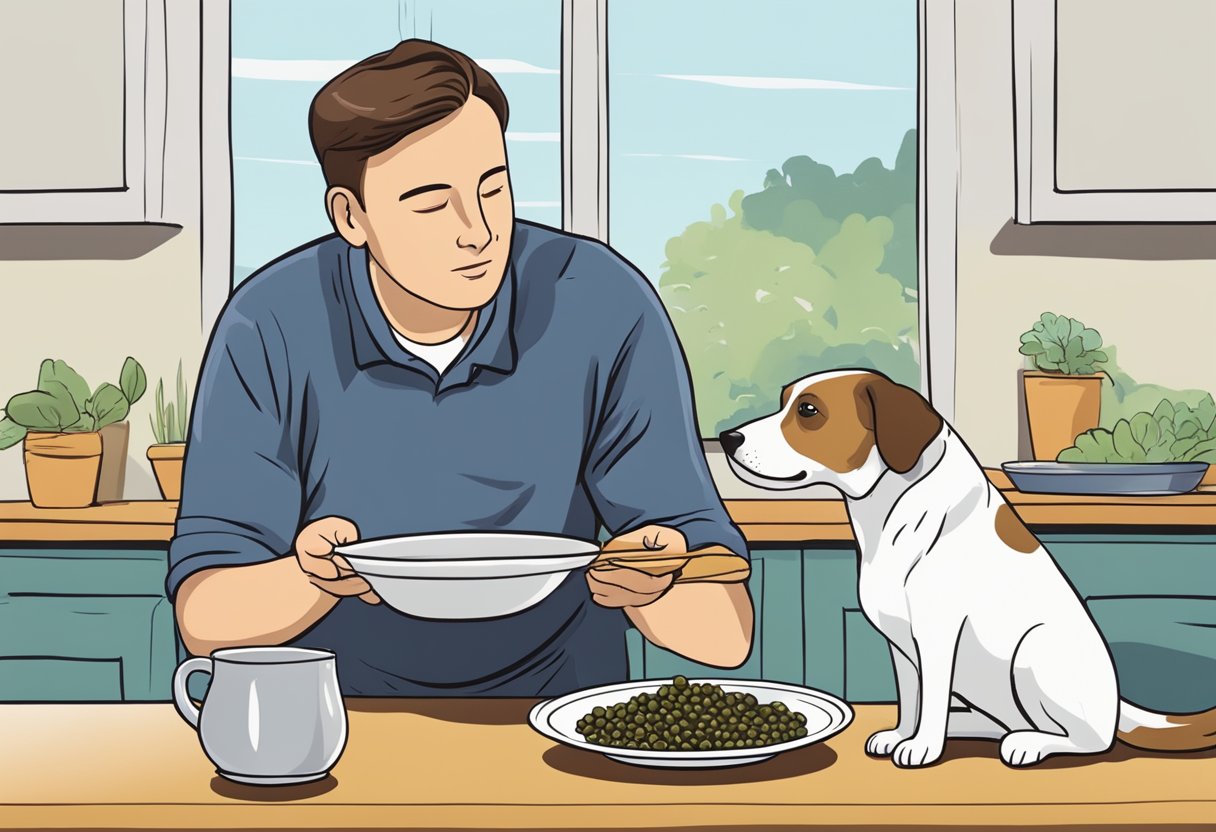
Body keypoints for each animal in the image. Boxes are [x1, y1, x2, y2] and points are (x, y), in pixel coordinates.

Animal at [719, 369, 1216, 768]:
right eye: (785, 399)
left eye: (808, 410)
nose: (727, 438)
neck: (892, 511)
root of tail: (1118, 704)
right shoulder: (900, 646)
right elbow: (913, 701)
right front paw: (903, 736)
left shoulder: (937, 636)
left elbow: (932, 697)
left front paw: (921, 748)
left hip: (1034, 654)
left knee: (1088, 739)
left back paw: (1029, 743)